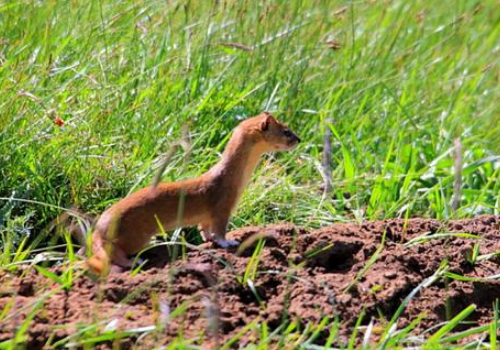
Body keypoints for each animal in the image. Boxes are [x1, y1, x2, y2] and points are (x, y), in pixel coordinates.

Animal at [88, 113, 300, 274]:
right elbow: (220, 229)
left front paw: (209, 240)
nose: (300, 140)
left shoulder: (207, 216)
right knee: (113, 251)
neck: (237, 181)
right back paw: (135, 261)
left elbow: (204, 229)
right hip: (134, 235)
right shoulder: (223, 206)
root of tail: (100, 226)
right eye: (286, 131)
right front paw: (229, 242)